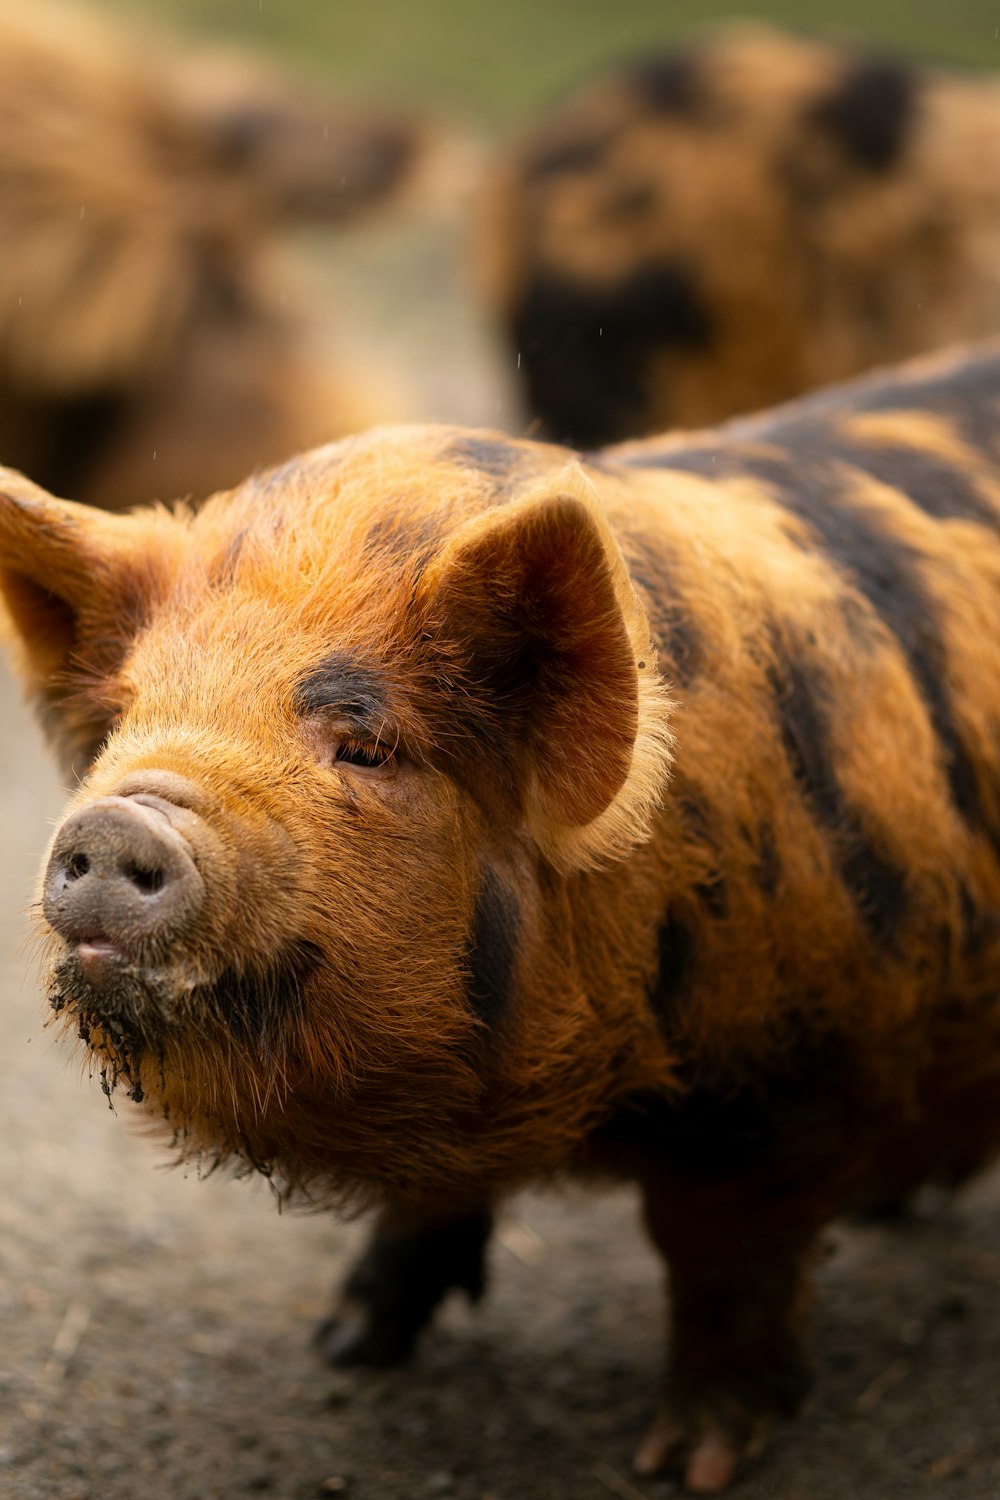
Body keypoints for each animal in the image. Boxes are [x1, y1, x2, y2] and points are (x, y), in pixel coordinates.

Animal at [1, 340, 1000, 1488]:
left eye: (367, 745)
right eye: (126, 720)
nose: (120, 819)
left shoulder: (776, 1085)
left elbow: (719, 1265)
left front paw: (683, 1465)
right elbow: (422, 1206)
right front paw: (346, 1347)